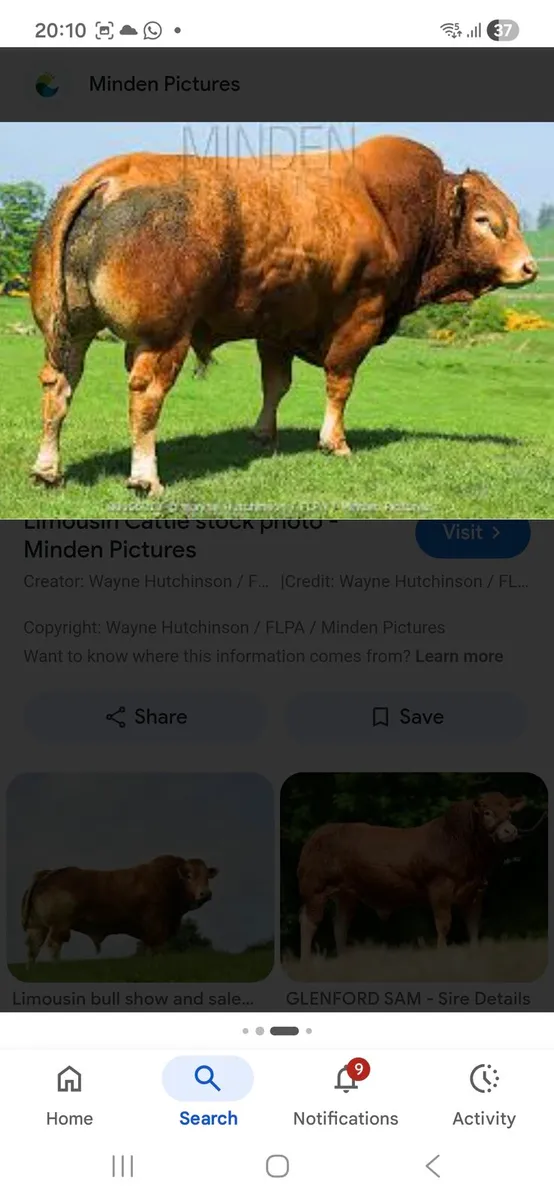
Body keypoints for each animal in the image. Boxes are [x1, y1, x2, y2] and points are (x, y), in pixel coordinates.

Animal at [21, 855, 219, 964]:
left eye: (207, 876)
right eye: (189, 876)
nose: (206, 893)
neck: (168, 880)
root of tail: (47, 874)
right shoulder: (157, 927)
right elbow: (158, 949)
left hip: (37, 927)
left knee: (33, 949)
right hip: (59, 926)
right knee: (54, 946)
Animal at [30, 135, 537, 495]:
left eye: (515, 216)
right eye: (486, 221)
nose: (529, 266)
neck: (392, 210)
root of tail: (110, 173)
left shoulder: (275, 326)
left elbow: (275, 383)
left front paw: (263, 433)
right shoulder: (362, 316)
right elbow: (340, 382)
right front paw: (335, 442)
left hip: (67, 330)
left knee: (59, 384)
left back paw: (47, 469)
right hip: (164, 337)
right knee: (145, 395)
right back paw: (145, 477)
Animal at [297, 793, 526, 961]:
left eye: (510, 813)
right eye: (487, 812)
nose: (510, 831)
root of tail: (318, 834)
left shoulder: (476, 889)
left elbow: (473, 924)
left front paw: (475, 951)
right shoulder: (440, 886)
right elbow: (444, 922)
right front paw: (442, 952)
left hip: (347, 894)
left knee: (340, 924)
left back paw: (343, 959)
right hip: (315, 888)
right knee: (309, 922)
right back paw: (307, 960)